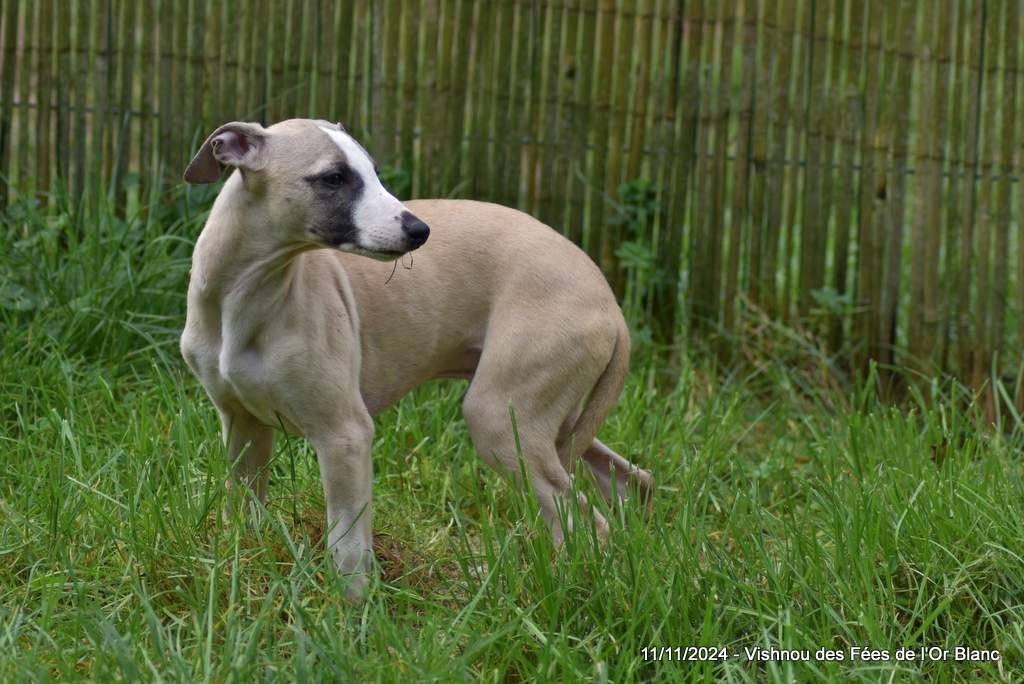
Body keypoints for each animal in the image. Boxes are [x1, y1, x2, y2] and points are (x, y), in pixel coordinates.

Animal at [180, 120, 651, 602]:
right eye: (334, 178)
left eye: (374, 171)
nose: (420, 231)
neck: (248, 293)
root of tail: (609, 303)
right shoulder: (242, 426)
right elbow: (244, 512)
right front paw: (240, 574)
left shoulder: (345, 435)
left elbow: (348, 546)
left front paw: (353, 611)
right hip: (549, 415)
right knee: (629, 479)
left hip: (502, 418)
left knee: (584, 522)